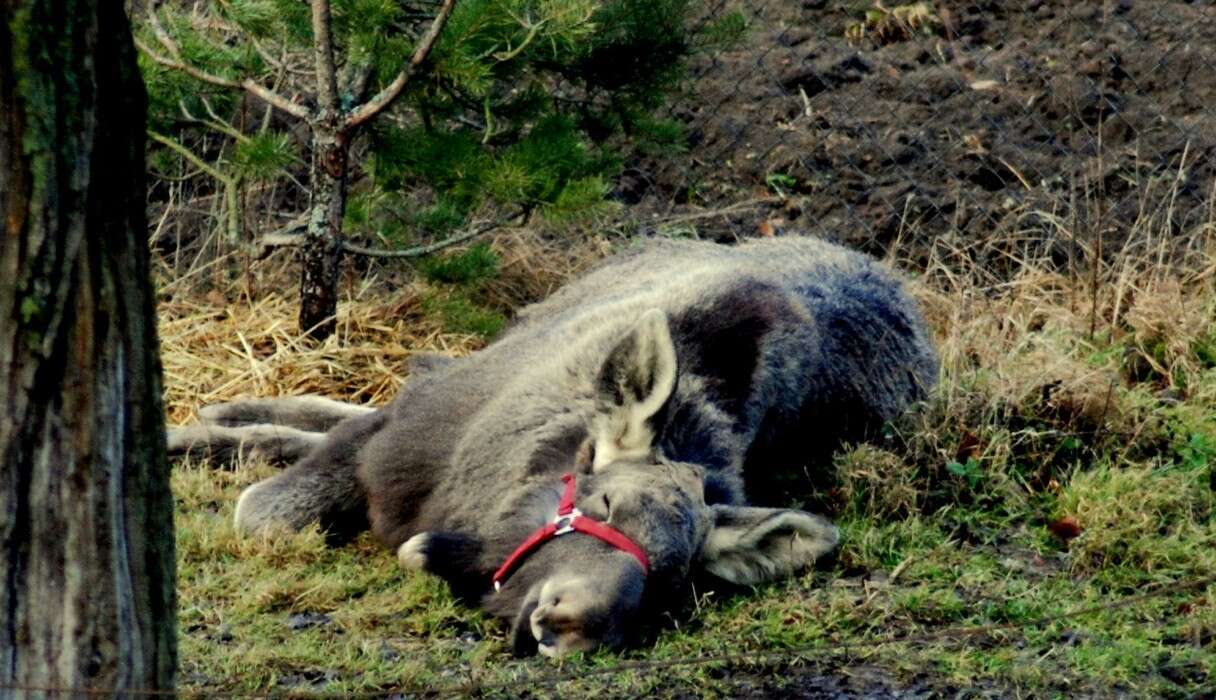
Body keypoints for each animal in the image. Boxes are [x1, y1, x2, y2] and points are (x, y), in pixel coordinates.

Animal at [166, 235, 933, 656]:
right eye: (603, 500)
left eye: (674, 574)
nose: (574, 621)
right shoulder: (397, 440)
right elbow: (264, 512)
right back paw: (209, 418)